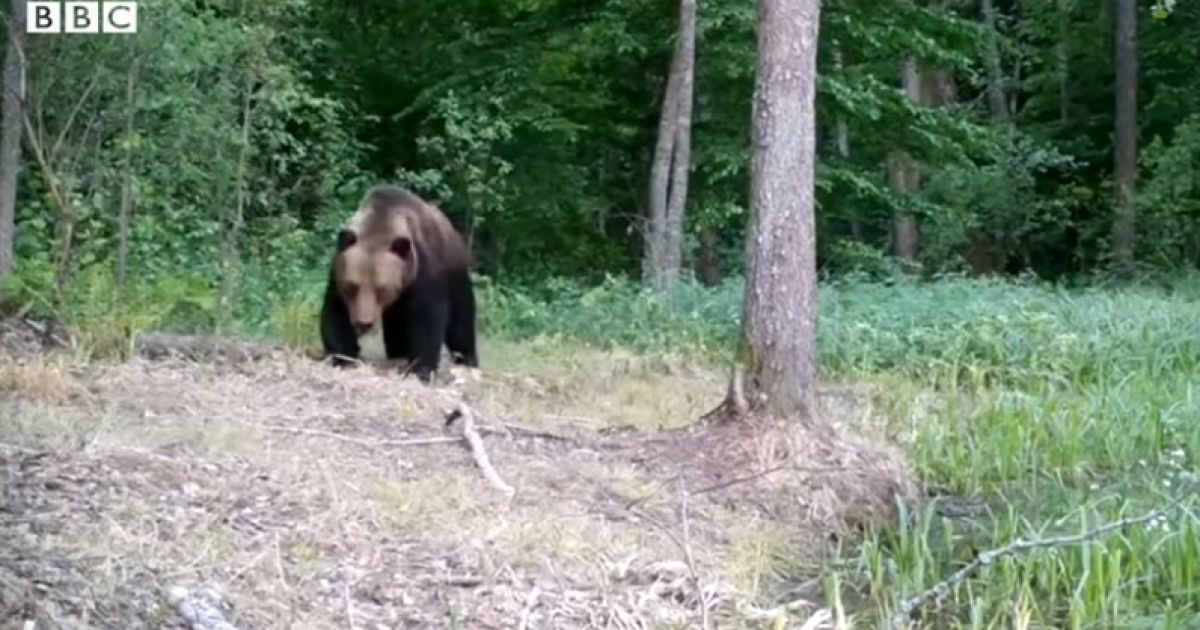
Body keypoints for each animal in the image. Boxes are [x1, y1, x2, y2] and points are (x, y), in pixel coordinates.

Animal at [319, 184, 479, 383]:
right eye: (352, 286)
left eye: (381, 288)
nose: (364, 323)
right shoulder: (338, 273)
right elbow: (336, 313)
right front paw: (345, 357)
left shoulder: (425, 271)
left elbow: (428, 321)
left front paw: (420, 369)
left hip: (456, 277)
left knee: (462, 325)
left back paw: (468, 361)